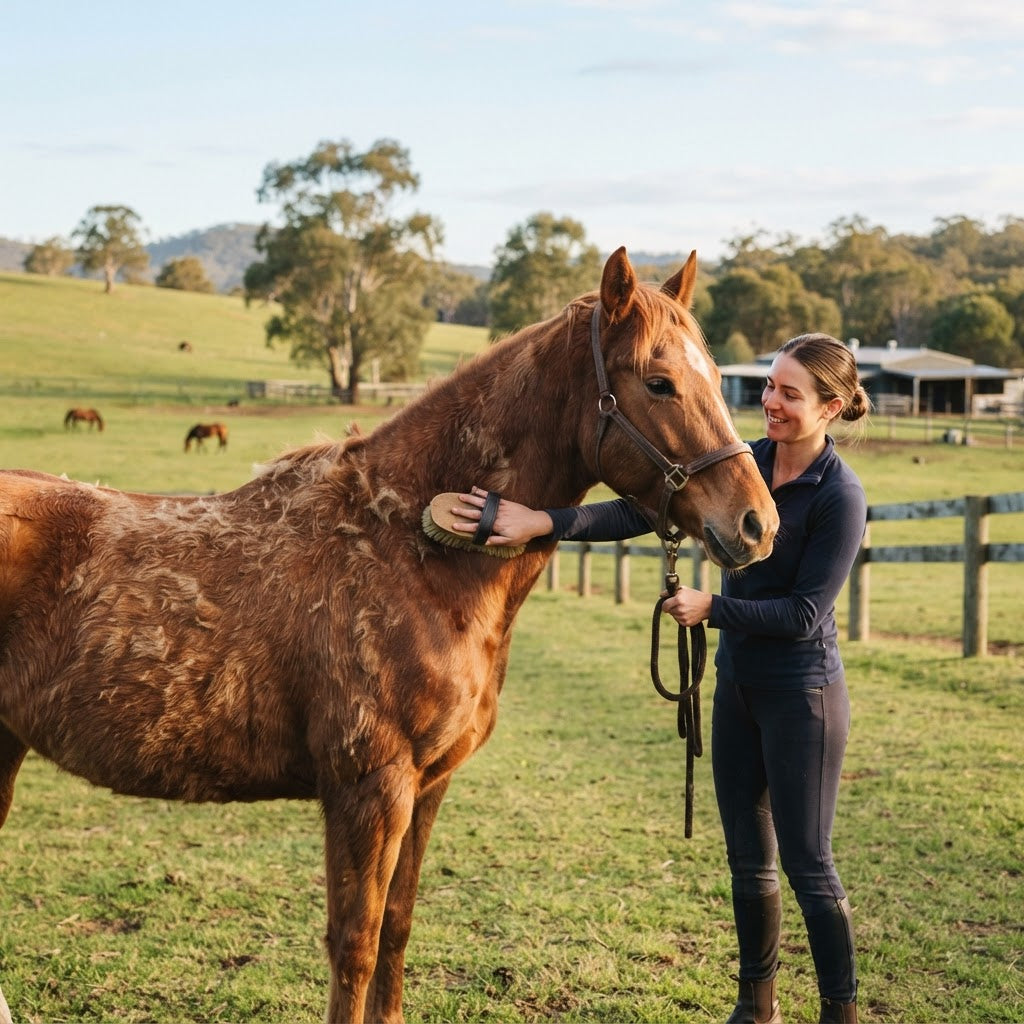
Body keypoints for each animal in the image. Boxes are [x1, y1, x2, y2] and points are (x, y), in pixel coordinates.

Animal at [0, 247, 779, 1024]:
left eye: (720, 380)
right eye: (659, 382)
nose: (757, 524)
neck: (404, 544)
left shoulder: (428, 785)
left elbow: (398, 930)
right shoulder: (370, 787)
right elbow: (357, 943)